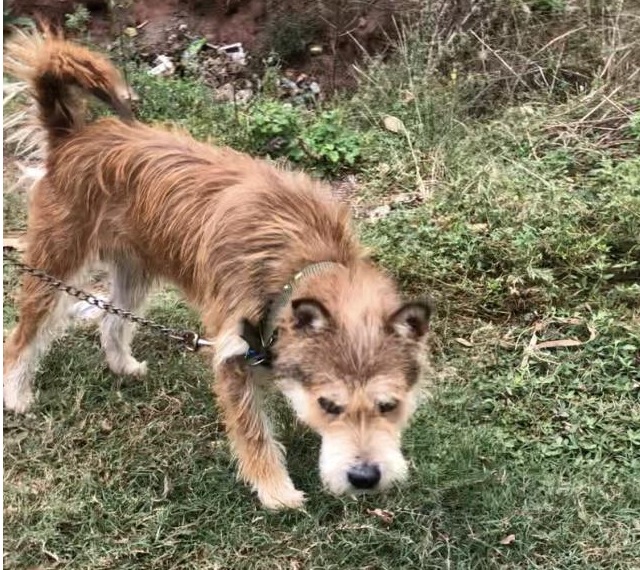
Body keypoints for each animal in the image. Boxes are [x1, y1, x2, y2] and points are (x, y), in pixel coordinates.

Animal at [2, 26, 432, 508]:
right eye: (329, 404)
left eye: (388, 405)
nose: (365, 477)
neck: (297, 267)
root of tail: (72, 136)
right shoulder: (231, 357)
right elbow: (254, 431)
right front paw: (275, 490)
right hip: (55, 266)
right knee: (22, 337)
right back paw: (16, 393)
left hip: (134, 270)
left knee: (112, 322)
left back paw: (122, 365)